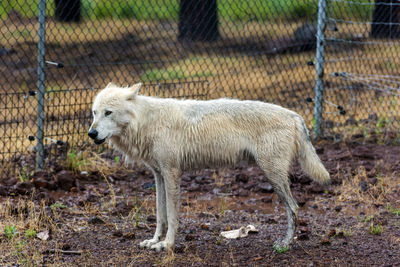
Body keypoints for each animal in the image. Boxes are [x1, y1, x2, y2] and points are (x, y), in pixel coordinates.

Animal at [89, 84, 330, 253]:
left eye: (108, 113)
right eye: (94, 112)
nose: (91, 134)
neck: (147, 122)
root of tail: (295, 115)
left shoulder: (172, 174)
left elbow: (172, 216)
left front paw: (167, 245)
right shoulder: (158, 175)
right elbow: (160, 214)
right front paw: (154, 240)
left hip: (274, 175)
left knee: (294, 208)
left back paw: (285, 244)